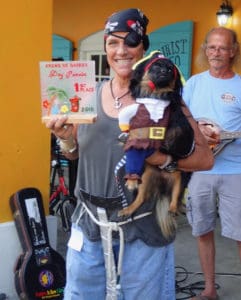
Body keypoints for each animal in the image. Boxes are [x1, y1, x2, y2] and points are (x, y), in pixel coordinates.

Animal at [117, 51, 195, 239]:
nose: (165, 71)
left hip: (181, 175)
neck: (155, 95)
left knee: (177, 194)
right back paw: (128, 208)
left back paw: (173, 208)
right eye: (156, 67)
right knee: (141, 198)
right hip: (146, 177)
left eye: (171, 70)